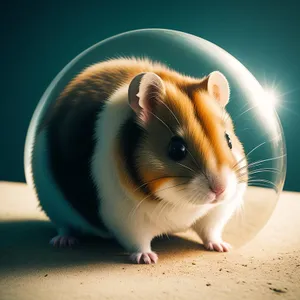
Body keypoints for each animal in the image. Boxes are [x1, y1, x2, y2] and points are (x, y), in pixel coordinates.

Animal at [24, 57, 248, 264]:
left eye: (229, 140)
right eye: (176, 149)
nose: (220, 190)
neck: (181, 203)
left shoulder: (217, 212)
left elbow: (211, 231)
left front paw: (222, 247)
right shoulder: (126, 219)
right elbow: (138, 241)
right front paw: (147, 258)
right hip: (53, 205)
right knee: (64, 226)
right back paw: (64, 241)